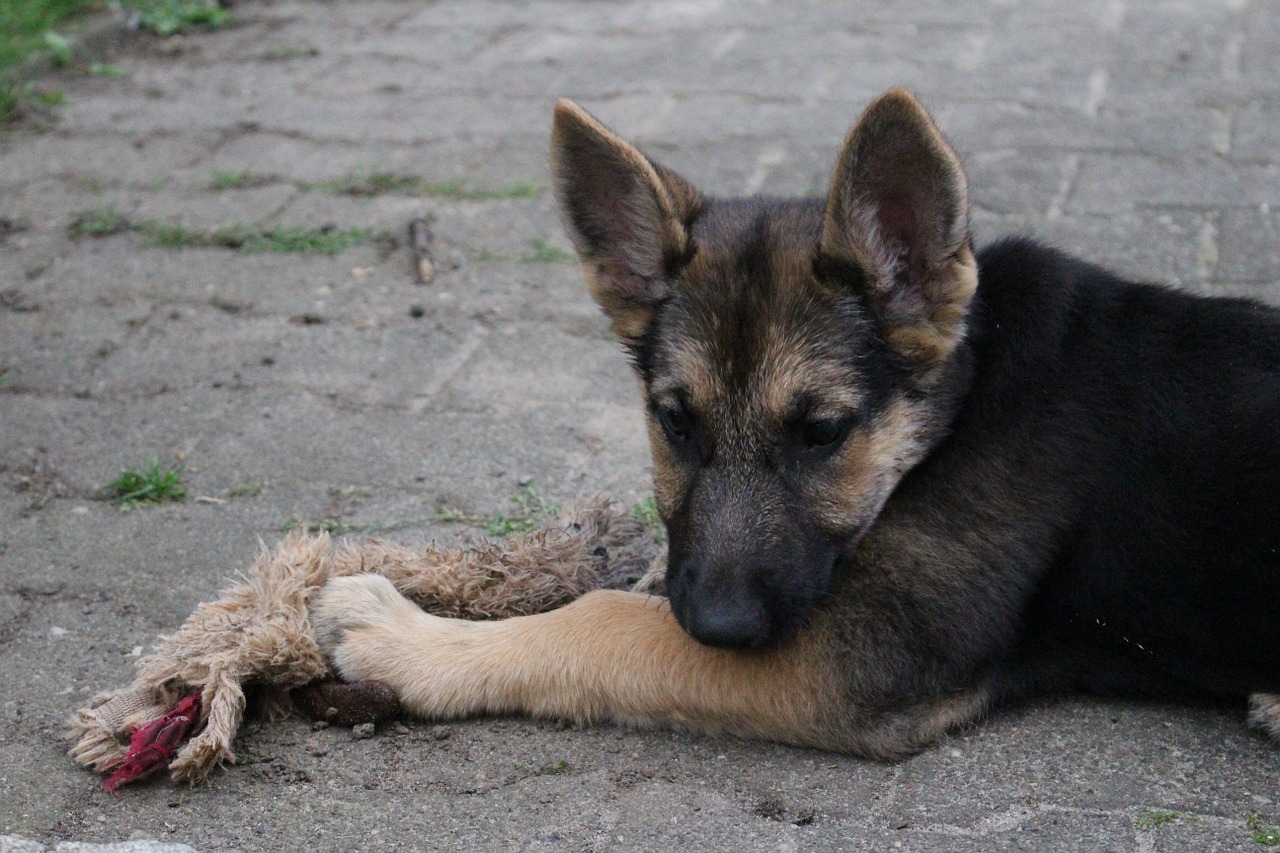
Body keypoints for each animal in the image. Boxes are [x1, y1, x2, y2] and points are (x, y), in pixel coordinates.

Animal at [312, 84, 1280, 753]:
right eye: (674, 422)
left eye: (822, 433)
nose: (719, 627)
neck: (965, 398)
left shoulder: (865, 647)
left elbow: (597, 622)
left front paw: (406, 639)